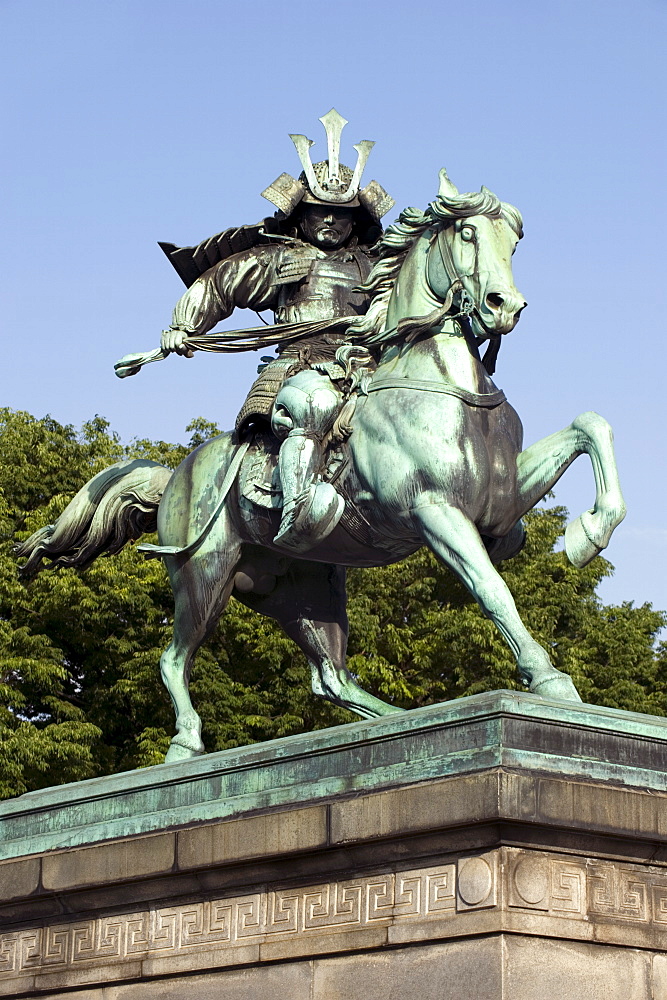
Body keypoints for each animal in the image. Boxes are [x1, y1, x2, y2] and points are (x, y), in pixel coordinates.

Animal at [17, 172, 628, 760]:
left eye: (515, 242)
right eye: (468, 233)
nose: (505, 306)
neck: (440, 384)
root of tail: (174, 478)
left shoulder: (499, 507)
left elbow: (591, 426)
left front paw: (588, 534)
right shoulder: (435, 512)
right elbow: (492, 589)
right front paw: (549, 678)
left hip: (304, 591)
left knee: (330, 676)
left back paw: (395, 723)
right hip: (205, 575)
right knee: (173, 659)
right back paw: (187, 742)